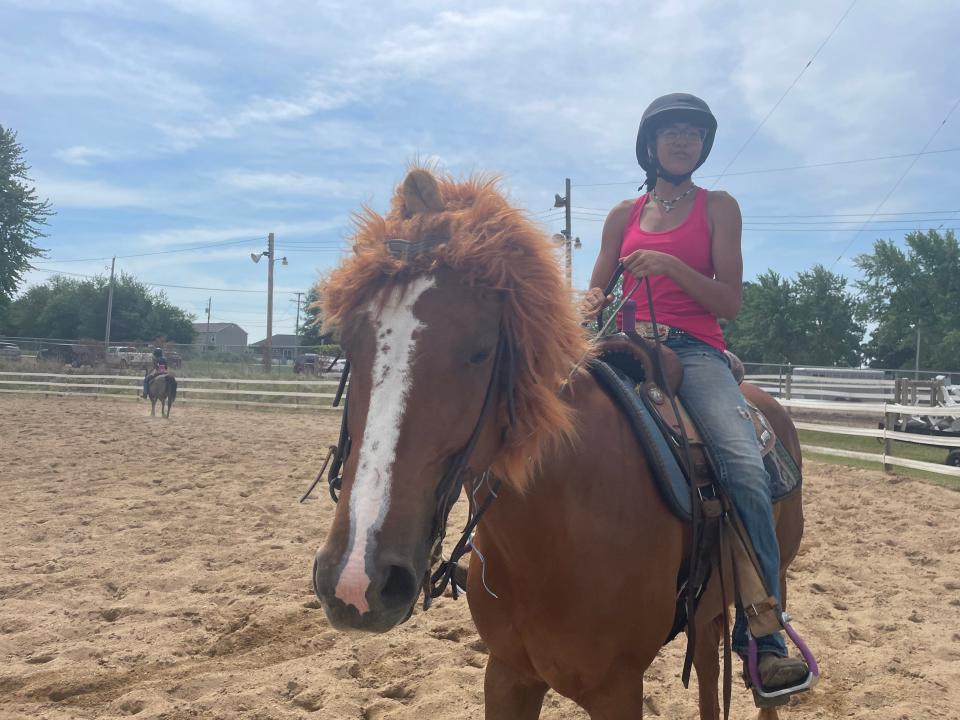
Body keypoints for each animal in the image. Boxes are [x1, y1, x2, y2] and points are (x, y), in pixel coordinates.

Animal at [312, 170, 808, 720]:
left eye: (480, 351)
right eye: (348, 343)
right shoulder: (507, 675)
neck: (562, 518)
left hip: (776, 576)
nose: (356, 580)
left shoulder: (617, 690)